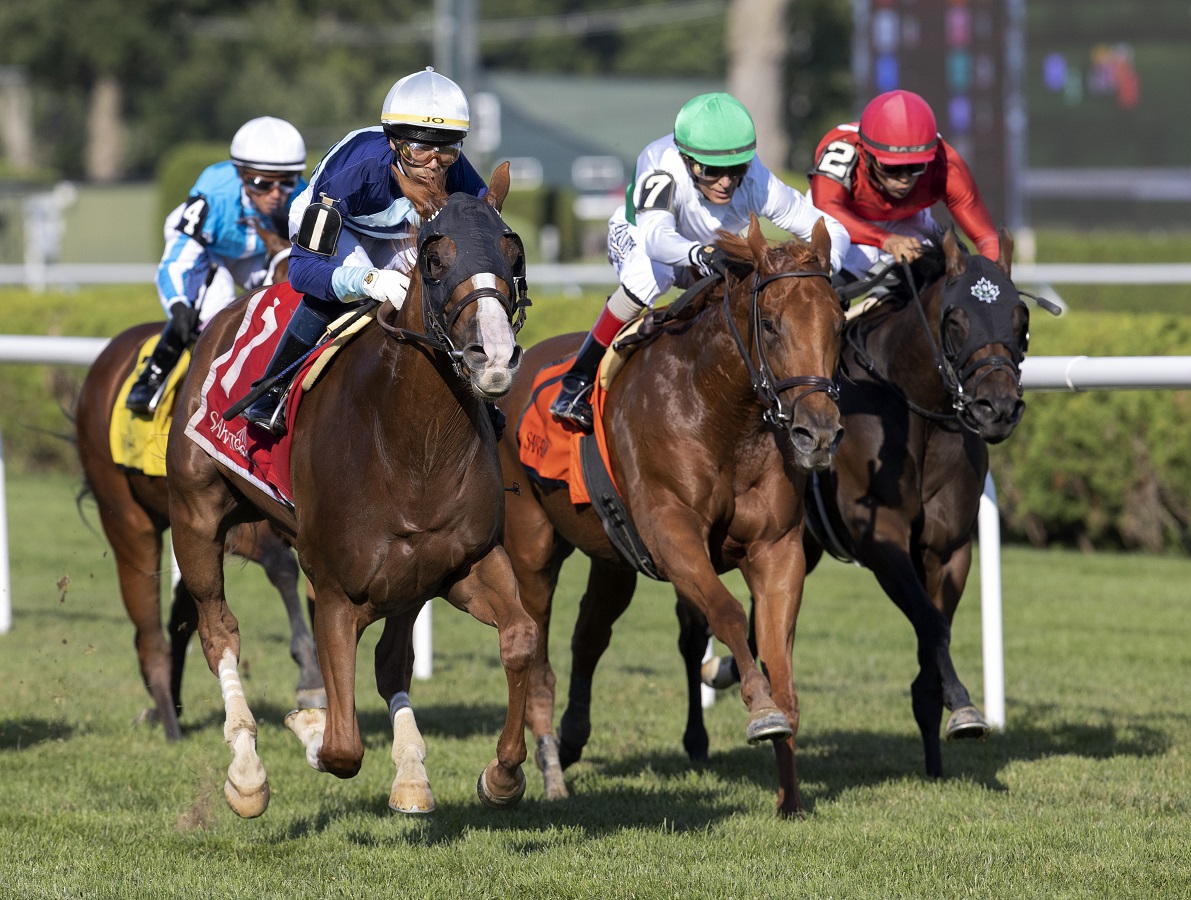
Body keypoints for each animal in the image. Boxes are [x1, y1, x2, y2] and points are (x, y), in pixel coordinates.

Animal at [76, 244, 323, 738]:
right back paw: (167, 717)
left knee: (178, 616)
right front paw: (308, 675)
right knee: (149, 623)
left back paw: (167, 702)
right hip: (129, 518)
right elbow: (281, 568)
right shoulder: (230, 518)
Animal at [167, 165, 540, 819]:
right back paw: (247, 773)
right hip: (196, 517)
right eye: (434, 257)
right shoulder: (338, 591)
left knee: (392, 662)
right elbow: (342, 747)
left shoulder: (464, 561)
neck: (413, 447)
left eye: (513, 253)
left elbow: (520, 638)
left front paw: (500, 774)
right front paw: (310, 727)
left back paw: (411, 774)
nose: (493, 357)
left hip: (408, 581)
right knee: (219, 632)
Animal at [497, 216, 843, 814]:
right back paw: (548, 768)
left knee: (589, 633)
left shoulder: (778, 548)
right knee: (536, 647)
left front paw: (789, 796)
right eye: (770, 324)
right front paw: (761, 710)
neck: (722, 413)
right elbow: (728, 612)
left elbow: (777, 656)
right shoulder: (671, 532)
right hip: (532, 547)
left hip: (611, 554)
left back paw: (571, 738)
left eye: (838, 323)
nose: (817, 433)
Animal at [695, 229, 1038, 780]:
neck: (913, 414)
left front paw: (937, 750)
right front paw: (964, 708)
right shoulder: (880, 541)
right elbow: (932, 624)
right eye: (956, 320)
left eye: (1020, 320)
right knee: (691, 635)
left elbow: (933, 632)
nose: (998, 408)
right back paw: (698, 732)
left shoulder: (949, 549)